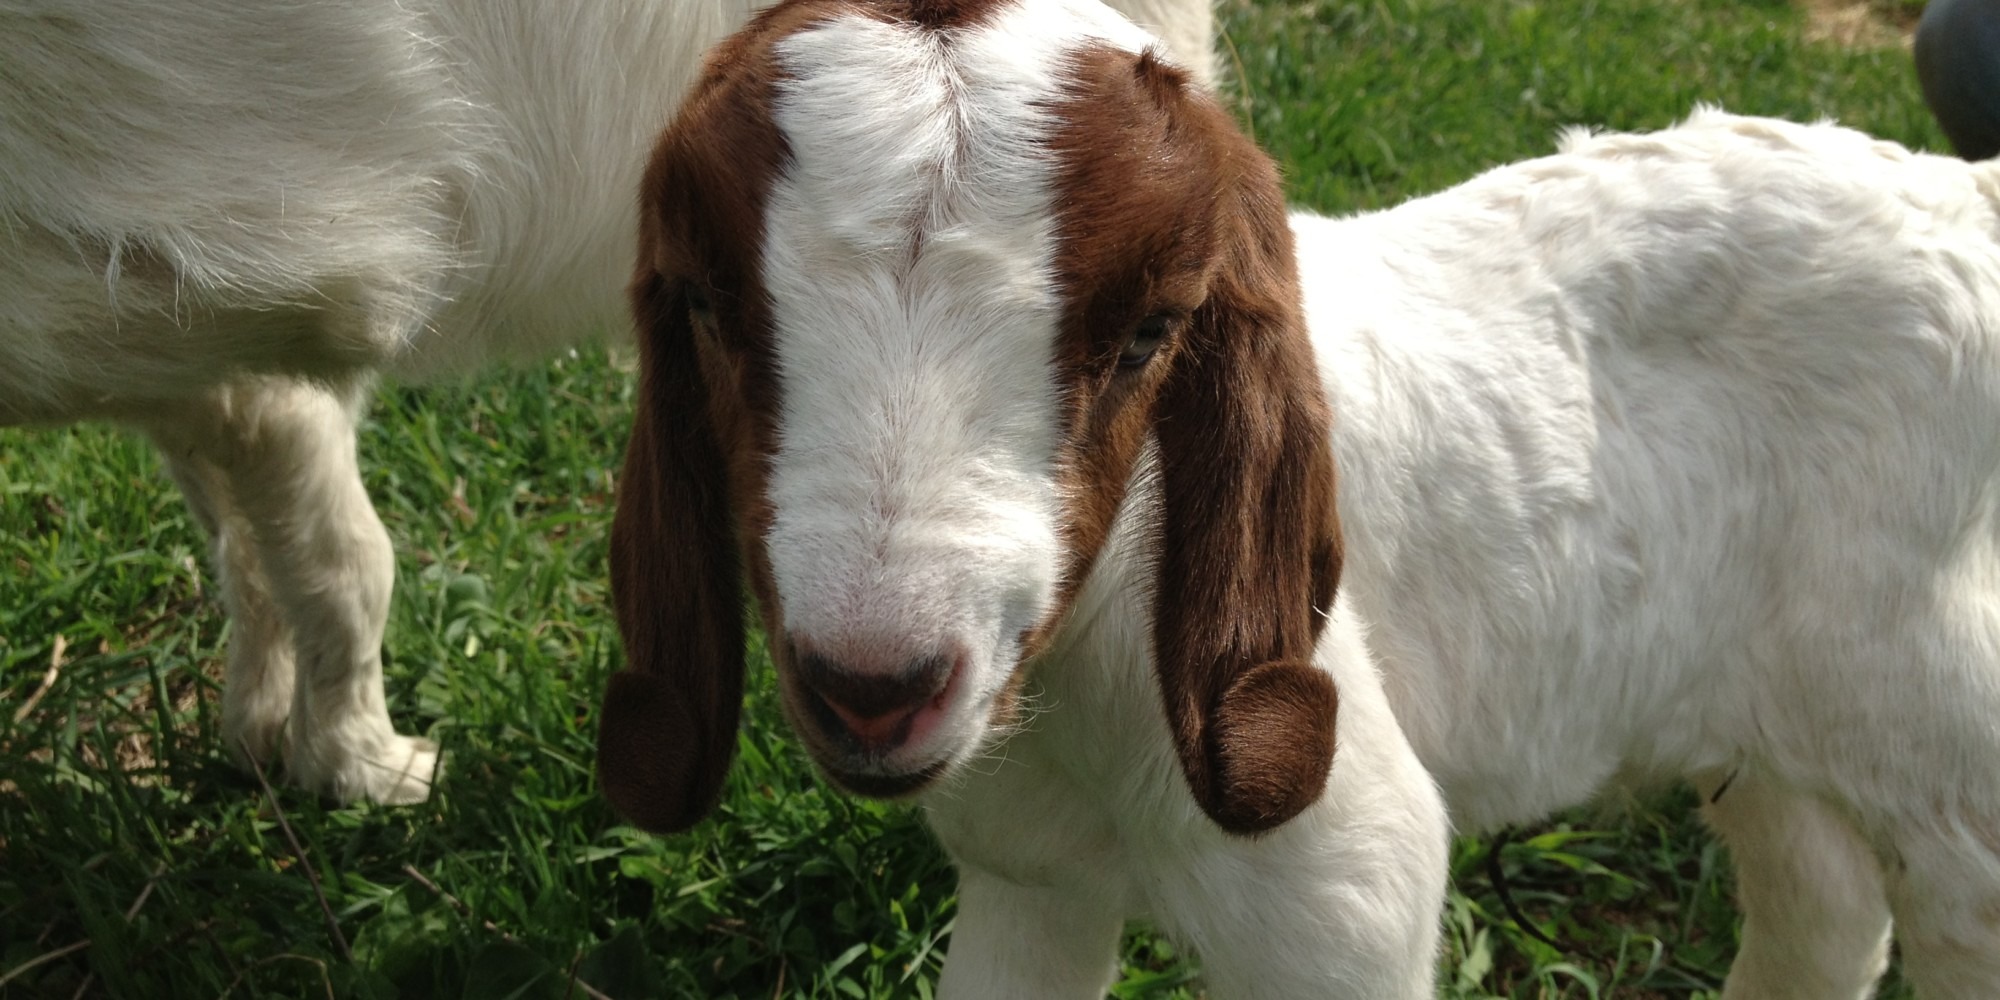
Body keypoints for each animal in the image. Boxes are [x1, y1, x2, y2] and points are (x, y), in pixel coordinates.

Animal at [0, 0, 1212, 805]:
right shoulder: (201, 307)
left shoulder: (212, 317)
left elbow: (289, 545)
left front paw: (313, 751)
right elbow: (311, 550)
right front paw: (336, 757)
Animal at [603, 0, 2000, 994]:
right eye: (709, 312)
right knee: (1822, 901)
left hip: (1937, 717)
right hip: (1758, 706)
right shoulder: (1025, 884)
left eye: (1149, 335)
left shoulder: (1333, 897)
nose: (873, 686)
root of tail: (1959, 199)